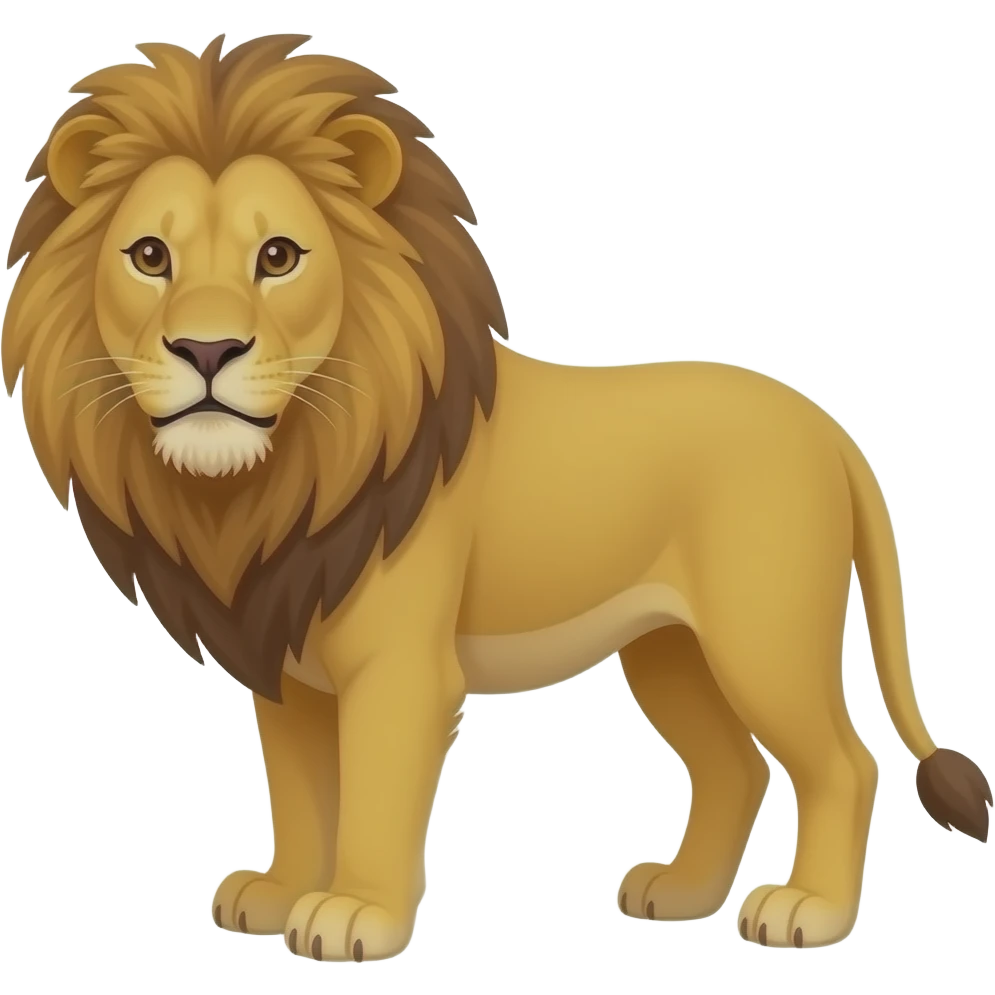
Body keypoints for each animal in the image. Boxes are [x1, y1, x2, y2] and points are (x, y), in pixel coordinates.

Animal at [2, 33, 991, 963]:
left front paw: (355, 913)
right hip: (671, 650)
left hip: (762, 635)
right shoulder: (285, 663)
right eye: (149, 255)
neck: (273, 480)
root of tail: (830, 429)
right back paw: (680, 892)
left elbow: (372, 793)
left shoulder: (398, 667)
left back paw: (806, 910)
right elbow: (301, 790)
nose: (207, 350)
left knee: (843, 763)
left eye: (277, 256)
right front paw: (282, 893)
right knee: (735, 767)